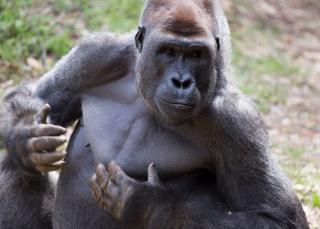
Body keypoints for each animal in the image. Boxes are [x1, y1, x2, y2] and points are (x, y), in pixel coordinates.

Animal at [0, 0, 310, 229]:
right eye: (168, 51)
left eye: (197, 54)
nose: (181, 82)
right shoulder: (97, 53)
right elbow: (36, 95)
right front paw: (24, 136)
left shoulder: (238, 122)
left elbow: (273, 216)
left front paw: (149, 205)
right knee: (16, 166)